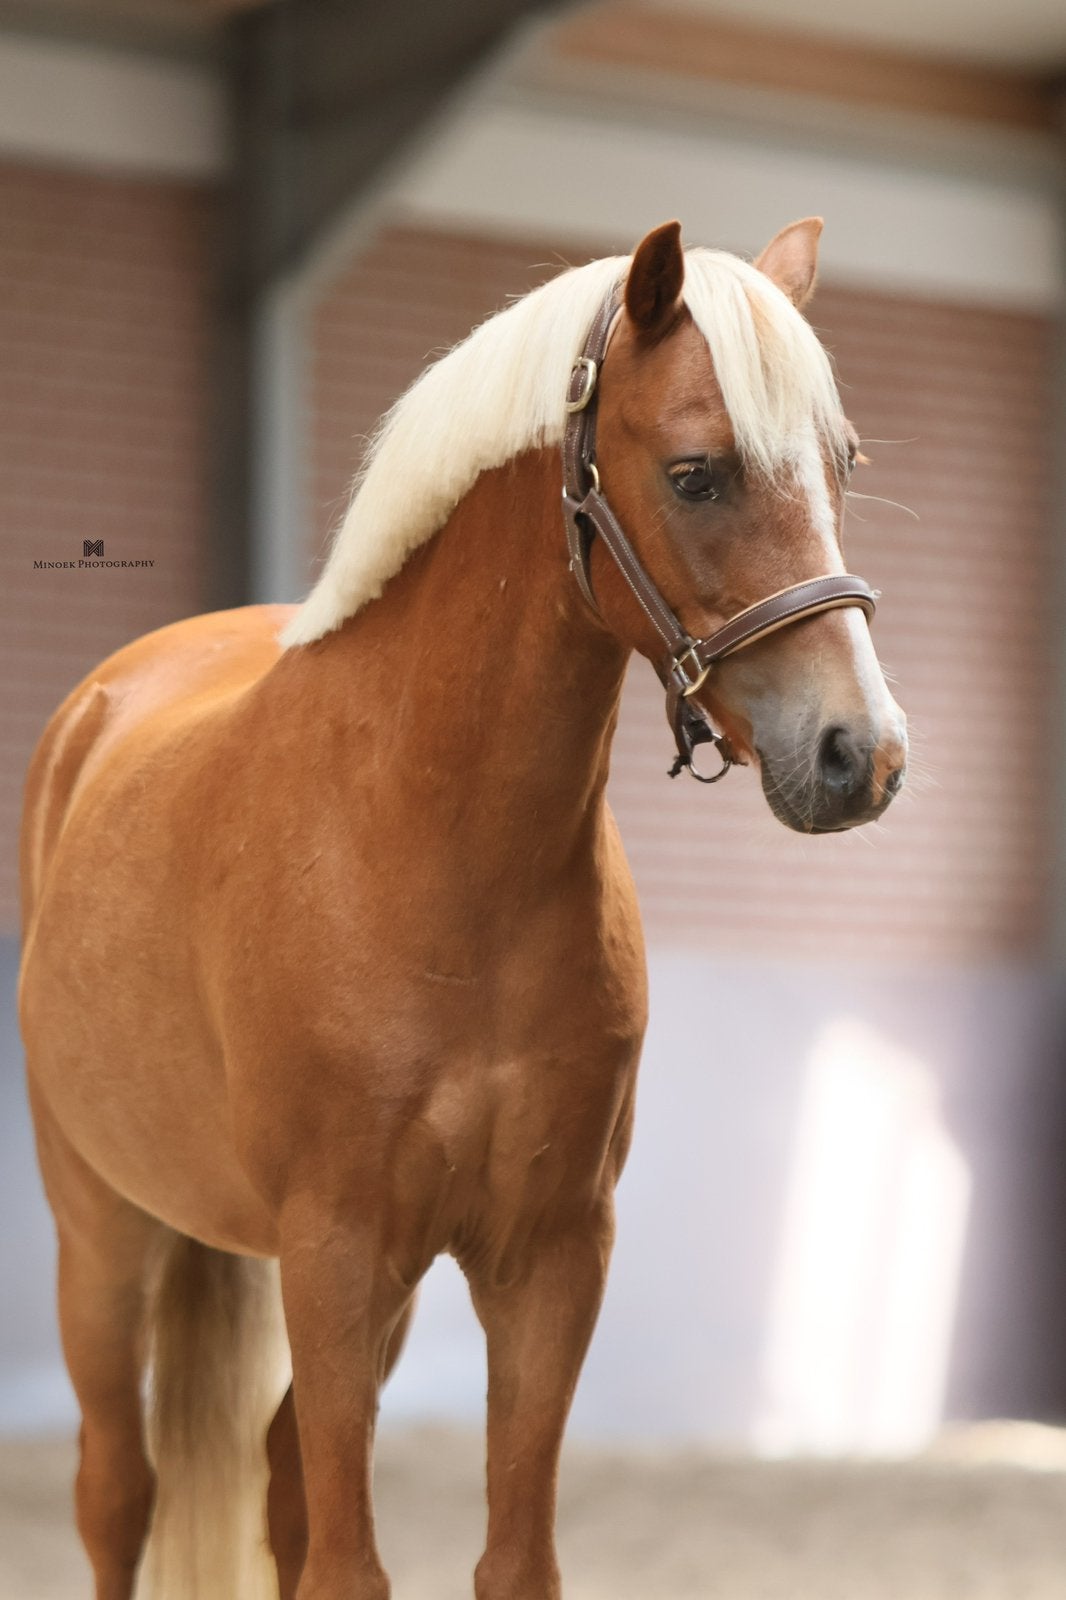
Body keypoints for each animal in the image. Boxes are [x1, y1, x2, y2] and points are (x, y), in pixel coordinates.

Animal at [18, 216, 907, 1600]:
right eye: (697, 474)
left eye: (841, 463)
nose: (855, 754)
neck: (430, 848)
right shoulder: (334, 1252)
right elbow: (345, 1565)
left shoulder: (546, 1256)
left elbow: (508, 1556)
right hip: (105, 1233)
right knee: (117, 1491)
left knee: (274, 1480)